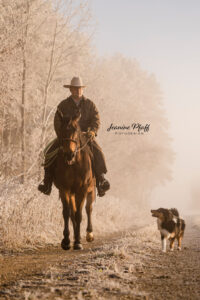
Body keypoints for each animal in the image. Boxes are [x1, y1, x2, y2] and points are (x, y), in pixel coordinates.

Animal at [53, 111, 95, 250]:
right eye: (61, 130)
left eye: (76, 131)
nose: (69, 154)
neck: (73, 164)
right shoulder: (64, 189)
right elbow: (67, 213)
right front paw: (66, 241)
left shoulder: (82, 190)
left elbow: (79, 214)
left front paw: (77, 242)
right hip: (71, 193)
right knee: (73, 212)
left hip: (91, 190)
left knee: (88, 208)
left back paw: (89, 234)